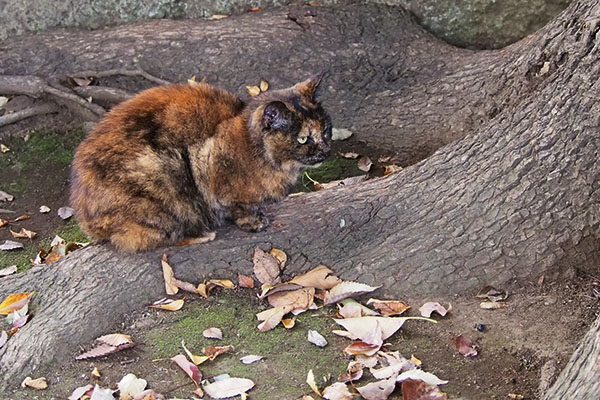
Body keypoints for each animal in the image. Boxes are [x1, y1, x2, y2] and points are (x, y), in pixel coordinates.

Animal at [72, 73, 332, 252]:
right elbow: (235, 205)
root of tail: (85, 219)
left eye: (326, 130)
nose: (325, 151)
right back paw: (201, 233)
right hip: (163, 174)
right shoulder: (208, 163)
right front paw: (252, 220)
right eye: (303, 138)